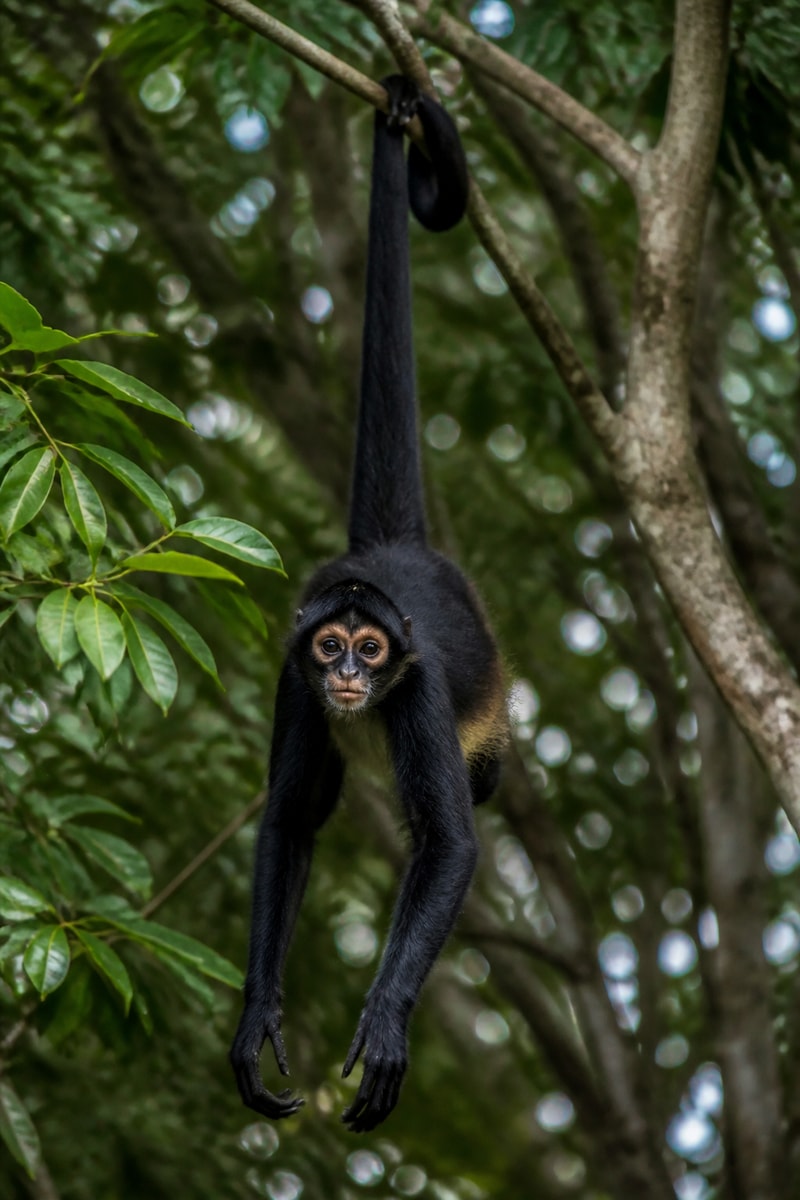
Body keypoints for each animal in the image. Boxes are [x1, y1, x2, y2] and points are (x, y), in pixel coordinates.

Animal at [230, 75, 507, 1134]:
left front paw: (385, 1022)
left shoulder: (420, 689)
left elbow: (452, 844)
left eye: (374, 652)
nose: (349, 672)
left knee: (479, 786)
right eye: (331, 649)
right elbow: (292, 820)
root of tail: (388, 555)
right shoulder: (290, 678)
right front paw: (255, 1016)